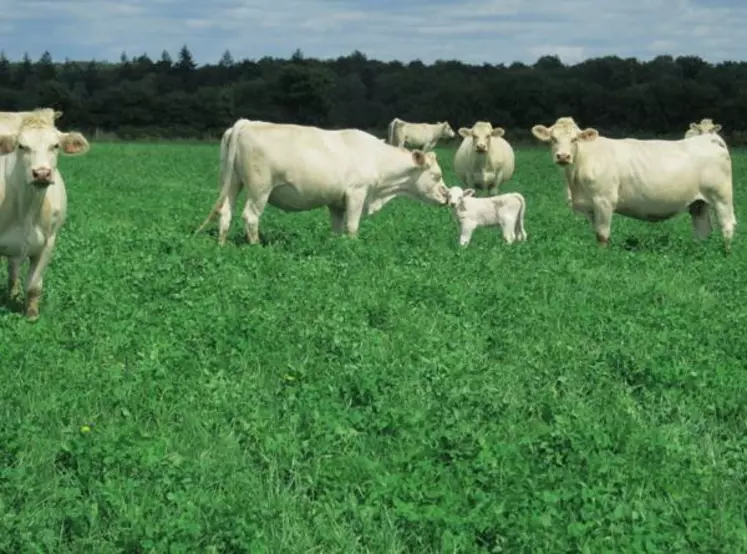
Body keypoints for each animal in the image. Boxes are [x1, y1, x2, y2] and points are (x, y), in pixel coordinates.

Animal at [0, 108, 90, 320]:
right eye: (21, 146)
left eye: (55, 145)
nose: (41, 173)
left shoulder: (48, 242)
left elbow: (33, 285)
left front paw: (32, 316)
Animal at [194, 121, 450, 244]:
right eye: (436, 176)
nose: (447, 196)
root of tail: (247, 123)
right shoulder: (357, 194)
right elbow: (352, 227)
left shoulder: (336, 202)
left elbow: (336, 229)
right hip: (260, 189)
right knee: (251, 216)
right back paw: (255, 245)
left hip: (232, 183)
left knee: (225, 212)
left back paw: (222, 244)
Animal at [532, 116, 736, 250]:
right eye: (553, 139)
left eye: (574, 139)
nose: (563, 156)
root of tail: (709, 139)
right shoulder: (589, 206)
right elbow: (596, 233)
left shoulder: (604, 200)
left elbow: (602, 234)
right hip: (699, 203)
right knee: (703, 229)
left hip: (721, 197)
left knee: (727, 225)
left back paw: (725, 254)